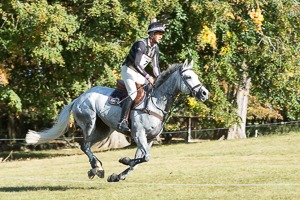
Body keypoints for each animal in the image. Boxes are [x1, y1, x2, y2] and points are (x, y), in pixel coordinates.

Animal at [25, 59, 209, 181]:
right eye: (189, 77)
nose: (205, 93)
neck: (156, 101)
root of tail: (78, 98)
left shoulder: (148, 139)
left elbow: (140, 161)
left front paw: (117, 176)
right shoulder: (139, 134)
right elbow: (143, 158)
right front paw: (123, 160)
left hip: (103, 130)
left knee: (87, 146)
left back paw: (95, 169)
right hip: (89, 123)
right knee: (84, 145)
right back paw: (96, 167)